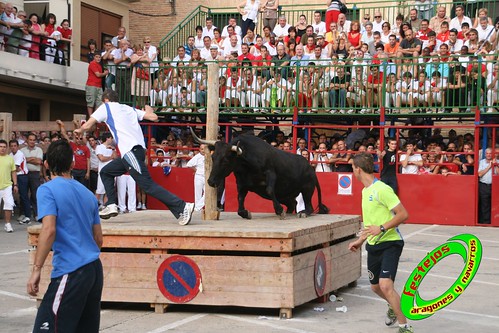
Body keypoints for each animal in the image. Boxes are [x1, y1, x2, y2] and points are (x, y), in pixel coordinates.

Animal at [193, 131, 330, 219]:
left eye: (226, 160)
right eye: (213, 157)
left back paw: (303, 213)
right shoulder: (241, 183)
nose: (211, 181)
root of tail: (310, 168)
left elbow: (269, 189)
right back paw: (289, 211)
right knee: (293, 203)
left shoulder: (271, 174)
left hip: (307, 188)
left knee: (309, 205)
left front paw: (279, 211)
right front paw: (246, 213)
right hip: (285, 195)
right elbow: (240, 199)